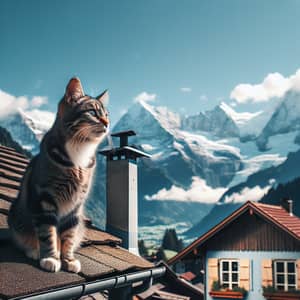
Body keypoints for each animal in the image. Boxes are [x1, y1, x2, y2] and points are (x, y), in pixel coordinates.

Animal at [7, 77, 109, 272]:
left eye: (107, 114)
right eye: (93, 112)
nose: (107, 123)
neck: (79, 156)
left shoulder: (76, 206)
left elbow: (68, 236)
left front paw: (68, 259)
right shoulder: (44, 199)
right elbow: (48, 234)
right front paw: (51, 257)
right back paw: (34, 250)